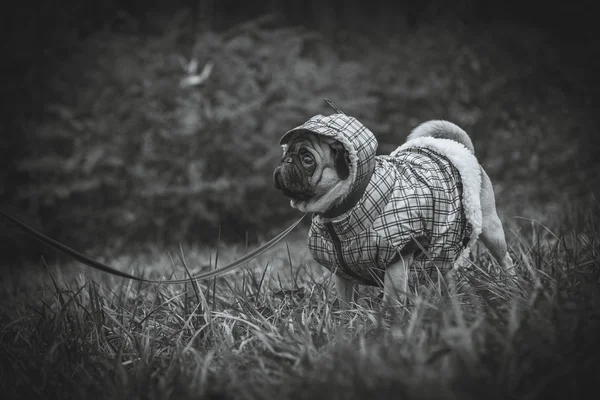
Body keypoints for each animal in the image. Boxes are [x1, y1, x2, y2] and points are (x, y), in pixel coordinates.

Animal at [274, 112, 512, 310]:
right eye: (285, 154)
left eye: (307, 159)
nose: (286, 160)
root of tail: (457, 148)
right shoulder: (342, 275)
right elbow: (345, 303)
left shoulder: (397, 259)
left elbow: (391, 302)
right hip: (445, 245)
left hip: (491, 230)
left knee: (504, 259)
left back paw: (510, 282)